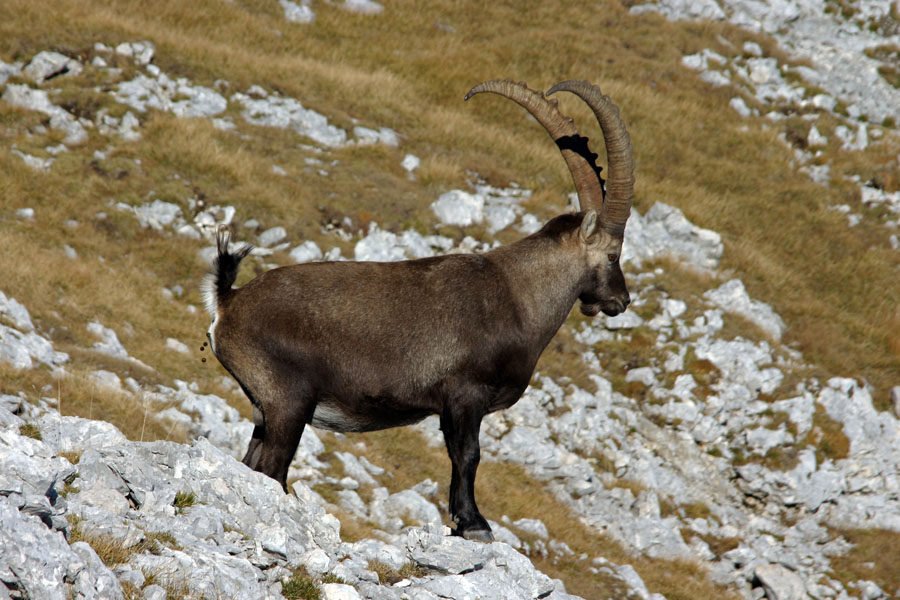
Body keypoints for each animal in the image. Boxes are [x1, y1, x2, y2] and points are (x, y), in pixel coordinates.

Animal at [202, 79, 634, 541]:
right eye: (612, 255)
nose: (620, 301)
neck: (519, 296)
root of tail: (228, 302)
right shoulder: (464, 396)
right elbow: (468, 455)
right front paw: (473, 523)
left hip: (263, 409)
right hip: (289, 402)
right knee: (271, 469)